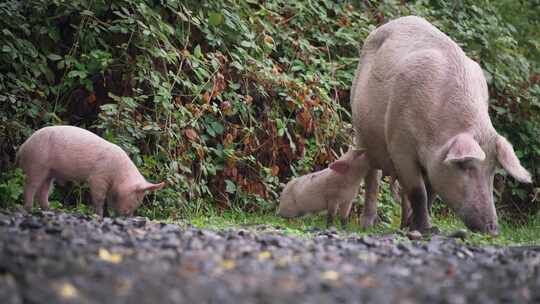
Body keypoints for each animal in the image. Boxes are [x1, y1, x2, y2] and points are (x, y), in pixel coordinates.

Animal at [16, 125, 165, 216]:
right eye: (138, 197)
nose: (128, 216)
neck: (118, 174)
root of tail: (22, 148)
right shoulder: (98, 176)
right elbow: (99, 197)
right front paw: (98, 215)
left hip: (49, 171)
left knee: (44, 189)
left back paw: (50, 210)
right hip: (37, 164)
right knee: (30, 186)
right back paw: (29, 209)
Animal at [350, 16, 532, 235]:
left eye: (492, 170)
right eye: (465, 166)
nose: (493, 230)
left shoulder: (435, 162)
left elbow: (430, 193)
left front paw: (422, 228)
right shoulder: (400, 146)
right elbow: (419, 192)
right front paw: (425, 229)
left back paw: (403, 226)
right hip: (361, 131)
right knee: (372, 178)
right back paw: (368, 226)